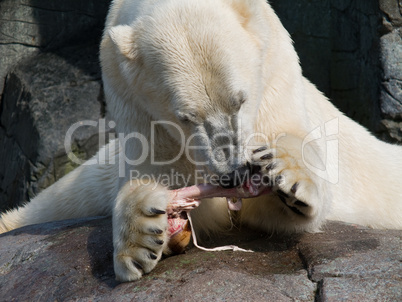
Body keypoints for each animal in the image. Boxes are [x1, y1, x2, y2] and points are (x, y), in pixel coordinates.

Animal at [0, 0, 402, 282]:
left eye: (240, 100)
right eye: (186, 116)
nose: (234, 174)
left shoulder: (274, 70)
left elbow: (295, 153)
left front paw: (286, 178)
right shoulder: (132, 100)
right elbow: (155, 177)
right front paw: (142, 236)